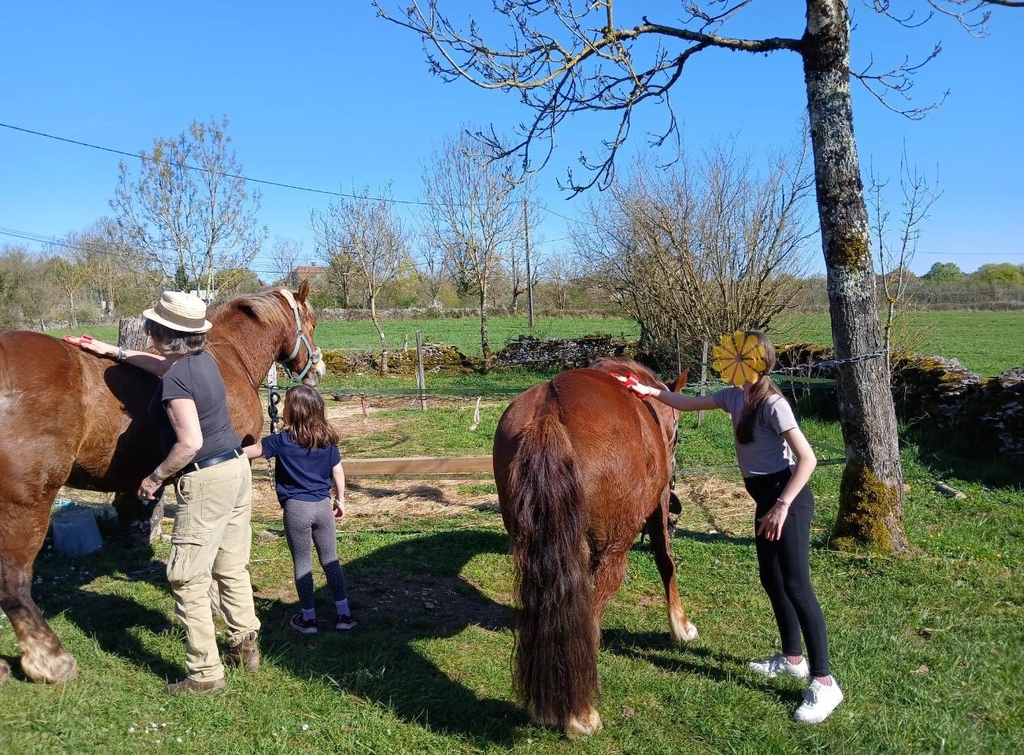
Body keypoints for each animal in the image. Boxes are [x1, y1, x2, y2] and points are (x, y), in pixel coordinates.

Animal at [0, 280, 325, 685]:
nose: (318, 369)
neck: (227, 356)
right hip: (27, 501)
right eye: (312, 321)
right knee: (13, 580)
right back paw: (50, 659)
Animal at [492, 356, 699, 738]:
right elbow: (666, 560)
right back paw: (580, 714)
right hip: (612, 553)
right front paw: (681, 625)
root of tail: (550, 411)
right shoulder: (659, 503)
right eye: (676, 434)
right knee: (588, 614)